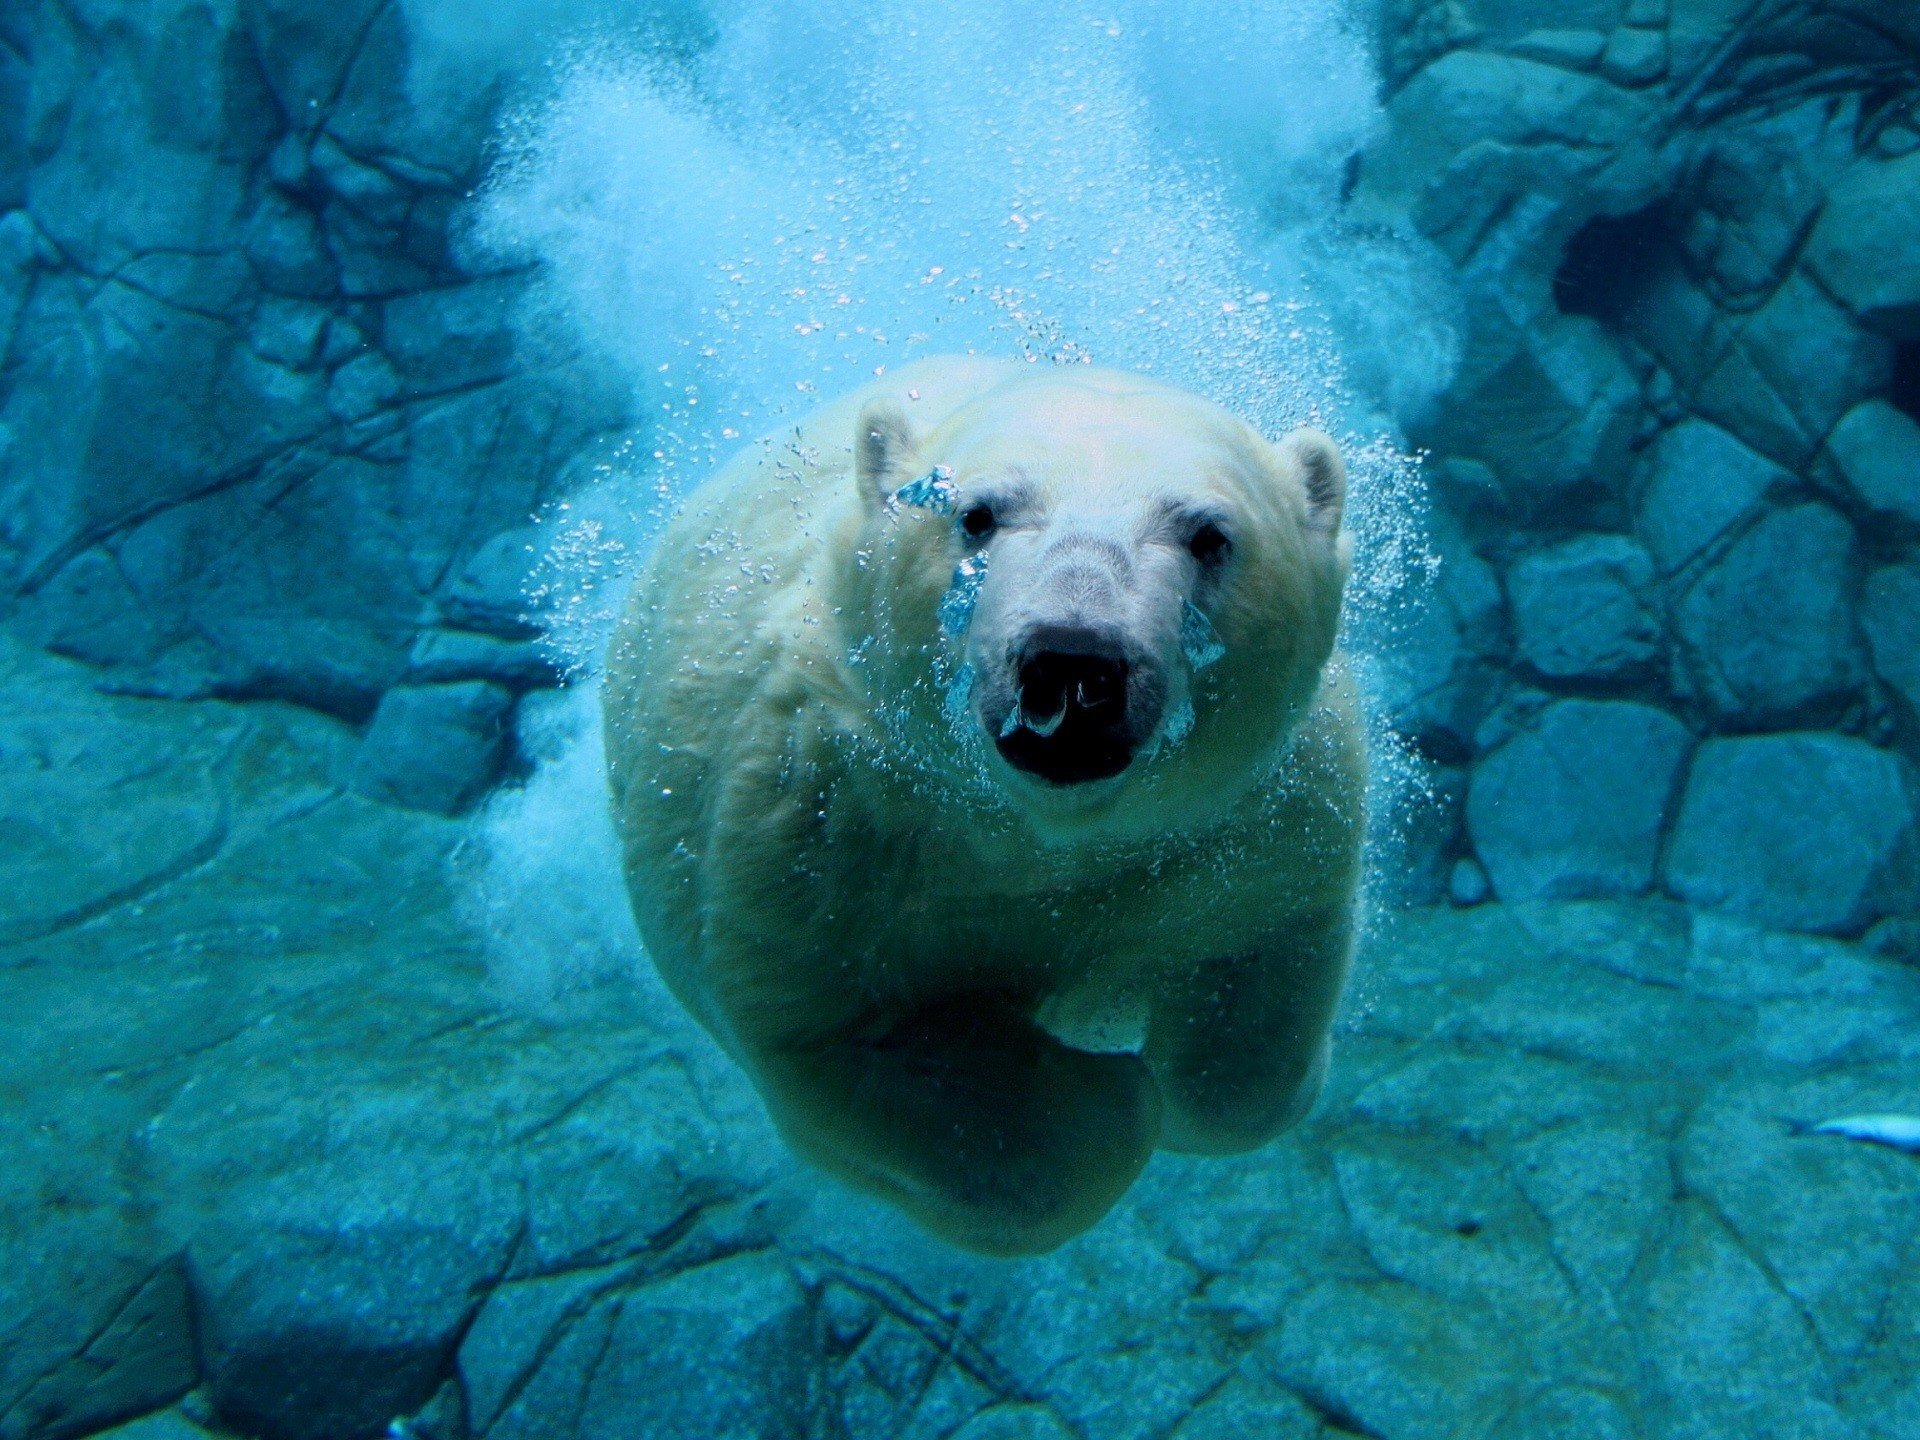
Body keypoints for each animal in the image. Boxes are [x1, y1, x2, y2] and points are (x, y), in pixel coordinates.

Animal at [599, 360, 1367, 1259]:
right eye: (976, 514)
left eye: (1210, 535)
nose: (1074, 661)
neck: (1038, 834)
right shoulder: (819, 826)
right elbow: (845, 1037)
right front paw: (1109, 1095)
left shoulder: (1253, 817)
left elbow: (1257, 981)